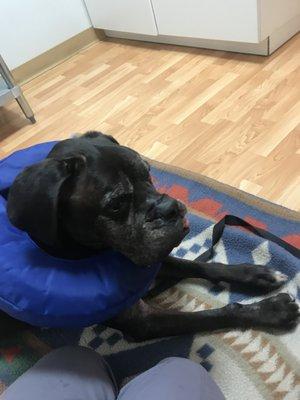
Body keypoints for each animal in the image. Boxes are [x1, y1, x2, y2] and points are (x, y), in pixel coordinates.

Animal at [5, 133, 300, 340]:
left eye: (148, 171)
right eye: (115, 204)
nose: (171, 207)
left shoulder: (151, 255)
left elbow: (197, 264)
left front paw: (255, 274)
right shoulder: (144, 322)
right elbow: (219, 312)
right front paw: (270, 311)